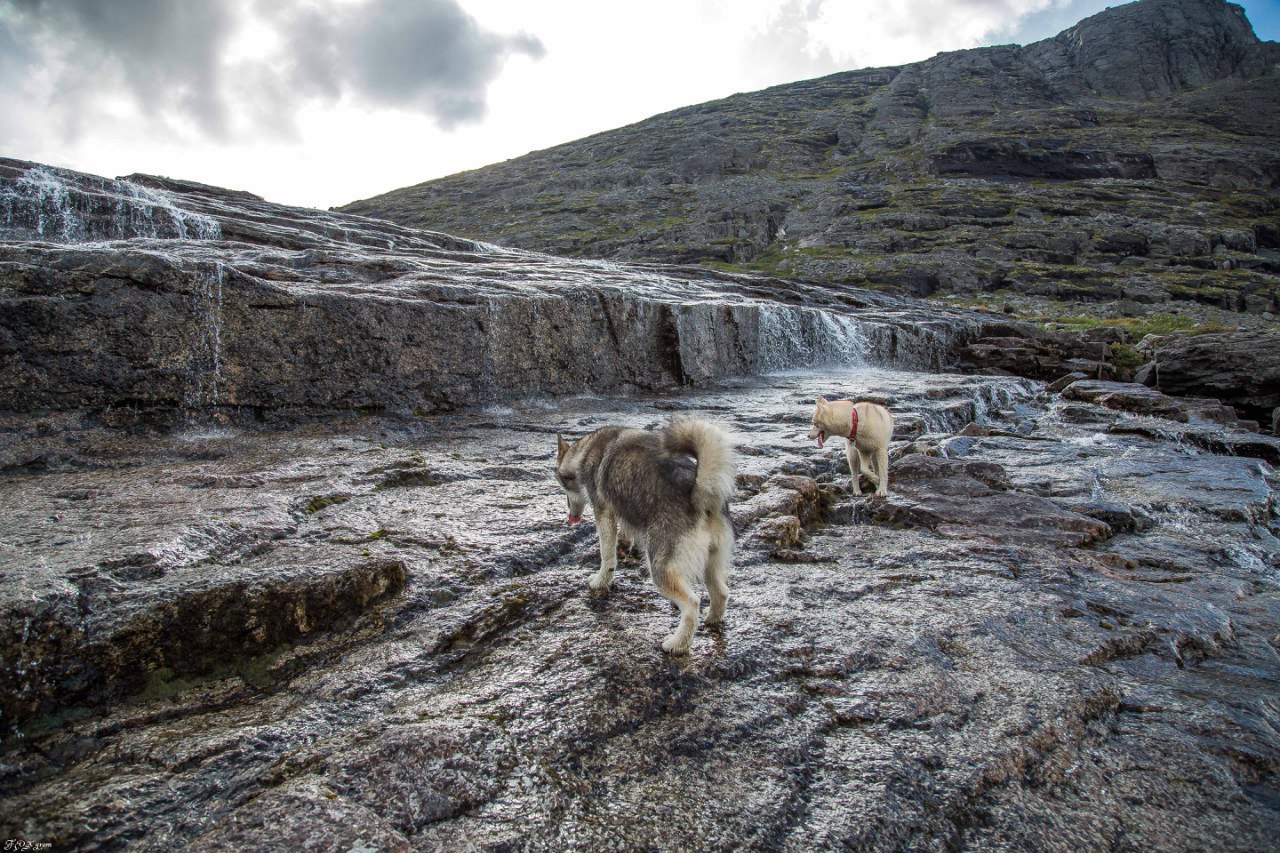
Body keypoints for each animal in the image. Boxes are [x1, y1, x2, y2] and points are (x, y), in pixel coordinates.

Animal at [555, 417, 737, 650]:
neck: (584, 451)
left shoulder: (603, 513)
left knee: (692, 604)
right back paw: (712, 619)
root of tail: (699, 494)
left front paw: (600, 580)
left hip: (661, 568)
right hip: (710, 562)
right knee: (721, 593)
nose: (570, 515)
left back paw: (677, 644)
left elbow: (607, 555)